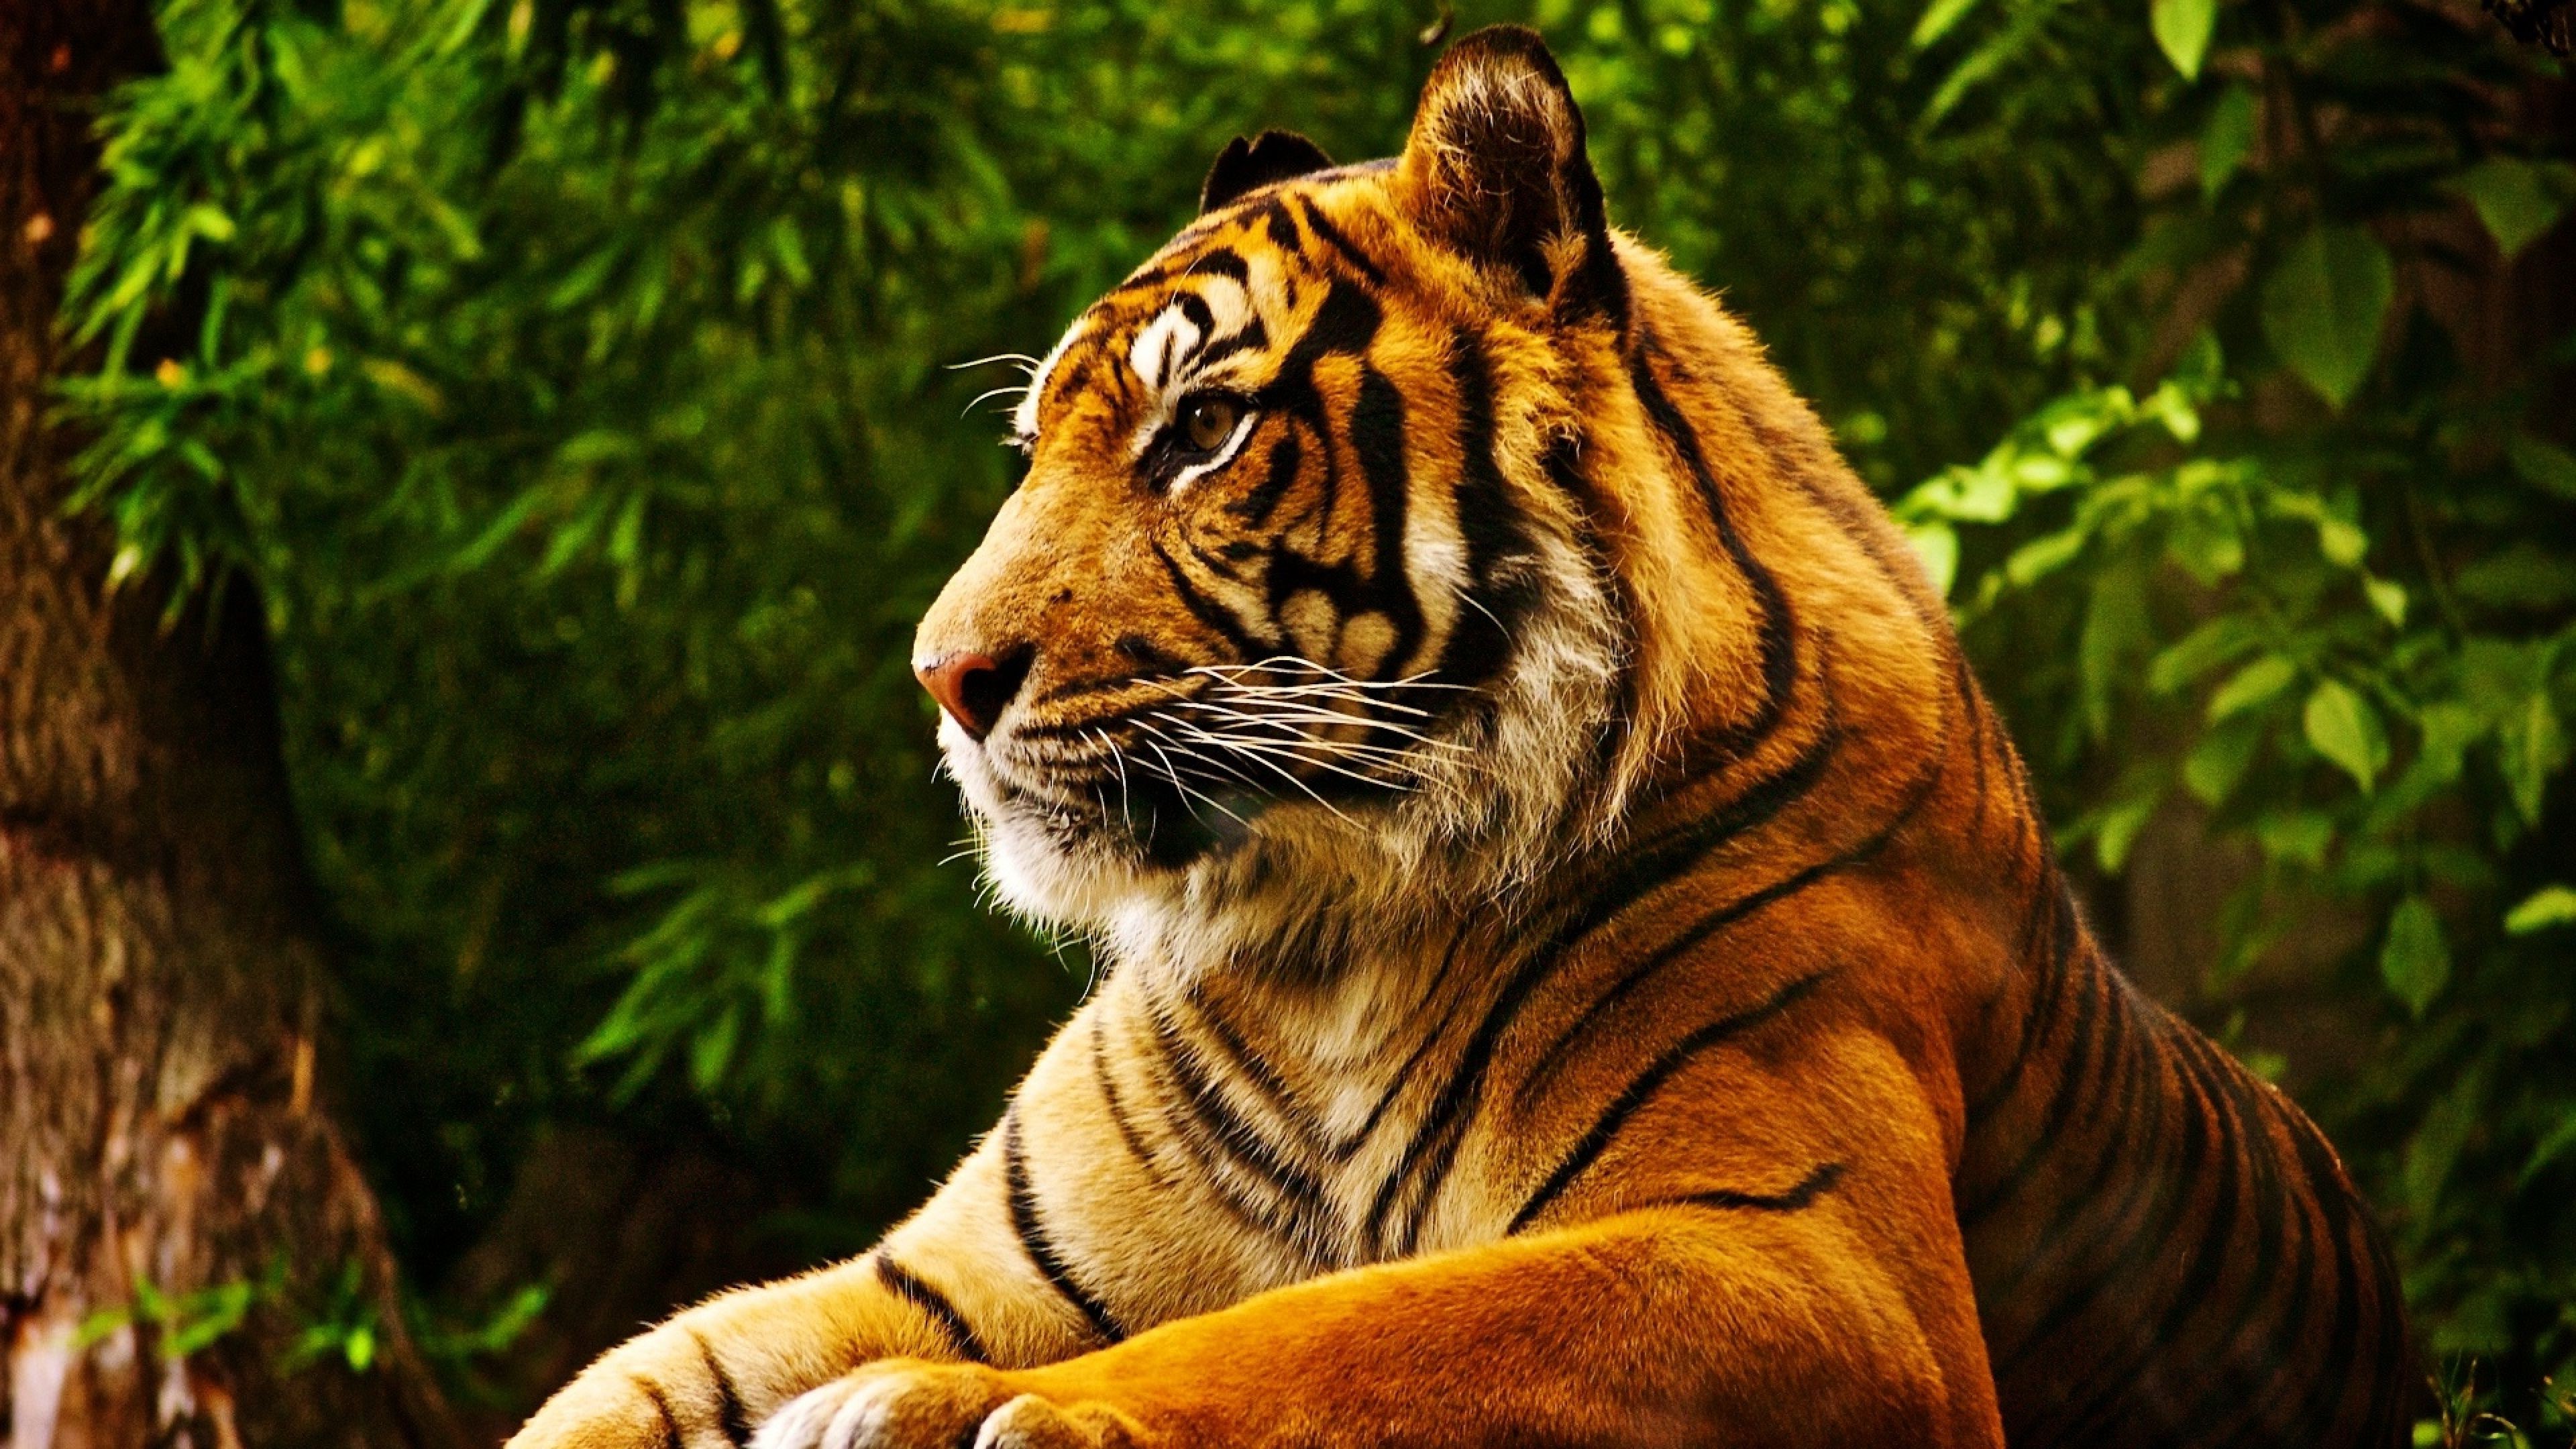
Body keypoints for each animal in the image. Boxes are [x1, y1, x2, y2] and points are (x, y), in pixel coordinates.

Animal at [507, 25, 2414, 1449]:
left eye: (1201, 432)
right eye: (1037, 445)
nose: (940, 677)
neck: (1324, 938)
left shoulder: (1807, 1256)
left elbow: (1344, 1332)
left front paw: (951, 1409)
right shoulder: (943, 1269)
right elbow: (618, 1384)